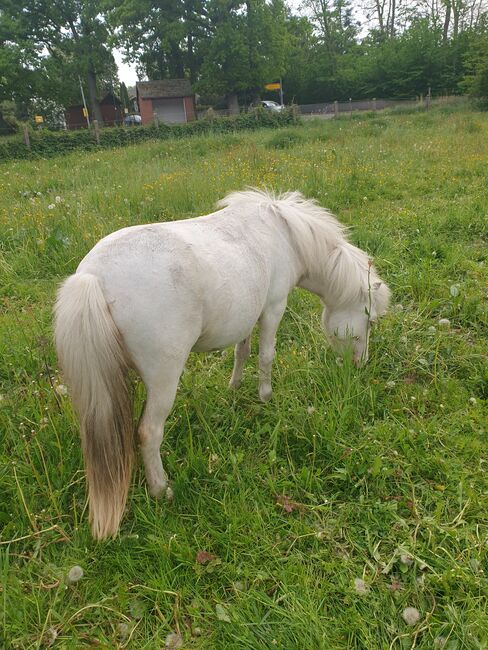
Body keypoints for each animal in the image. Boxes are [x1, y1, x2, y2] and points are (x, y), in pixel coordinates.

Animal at [54, 190, 388, 540]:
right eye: (370, 320)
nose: (360, 365)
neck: (286, 234)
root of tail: (92, 277)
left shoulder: (248, 315)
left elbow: (242, 352)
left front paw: (234, 389)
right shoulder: (273, 308)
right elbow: (266, 355)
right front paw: (265, 396)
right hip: (163, 380)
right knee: (148, 432)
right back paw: (161, 490)